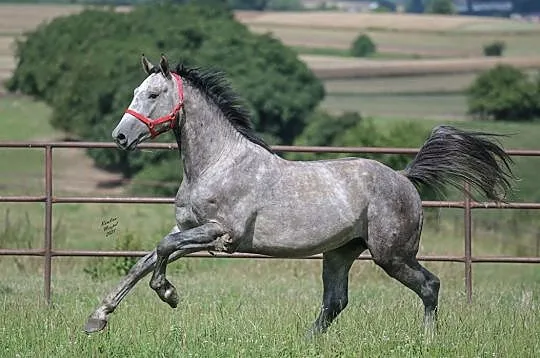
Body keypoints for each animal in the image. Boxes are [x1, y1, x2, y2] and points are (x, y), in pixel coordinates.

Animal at [84, 55, 516, 336]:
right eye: (138, 91)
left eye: (154, 94)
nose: (120, 137)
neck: (216, 162)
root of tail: (404, 177)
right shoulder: (191, 230)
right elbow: (145, 260)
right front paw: (97, 318)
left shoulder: (220, 233)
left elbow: (161, 249)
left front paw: (169, 294)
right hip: (340, 253)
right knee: (335, 302)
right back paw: (307, 341)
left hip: (392, 255)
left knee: (429, 286)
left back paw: (426, 341)